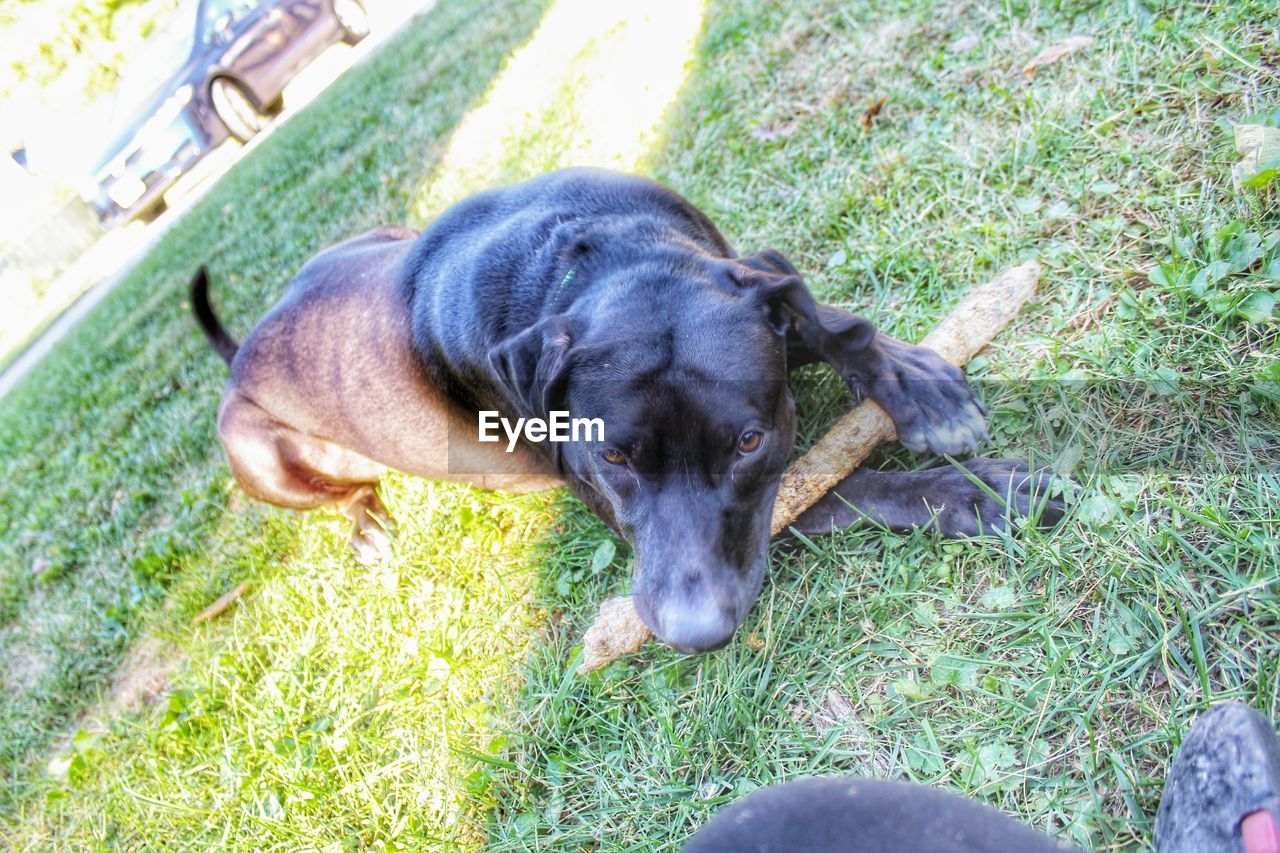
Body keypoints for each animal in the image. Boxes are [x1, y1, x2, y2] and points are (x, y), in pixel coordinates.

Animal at [192, 166, 1059, 650]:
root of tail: (246, 345)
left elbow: (822, 318)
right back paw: (368, 526)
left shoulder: (748, 279)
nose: (694, 632)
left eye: (748, 440)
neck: (600, 255)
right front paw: (969, 491)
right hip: (256, 453)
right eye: (612, 457)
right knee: (344, 490)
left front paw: (914, 379)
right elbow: (837, 483)